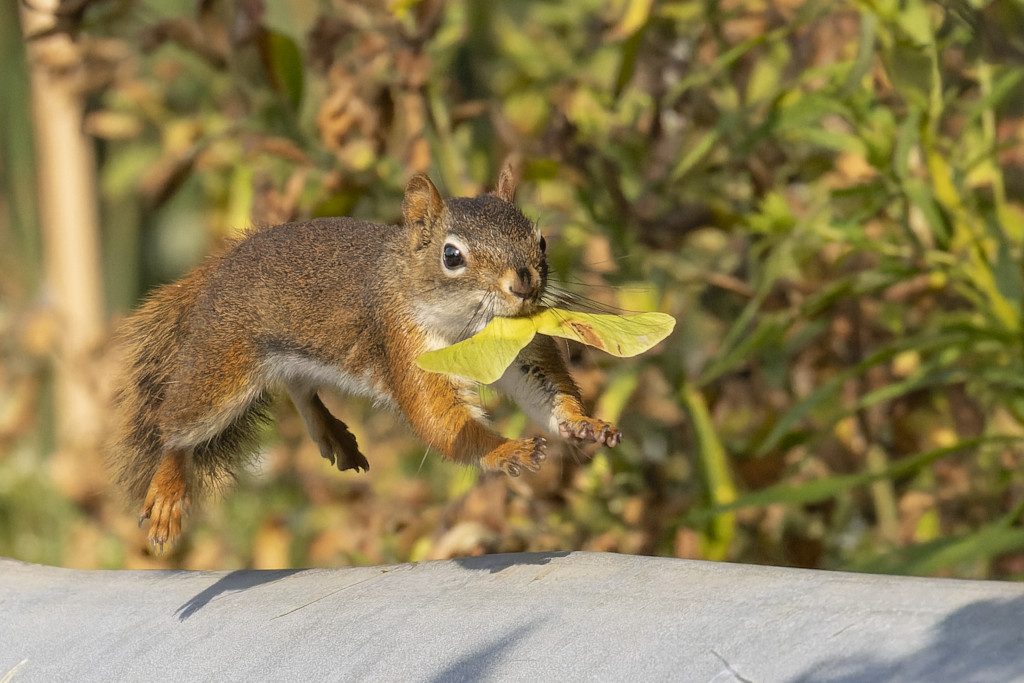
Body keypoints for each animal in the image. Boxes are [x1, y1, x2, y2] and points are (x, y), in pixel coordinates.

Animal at [112, 166, 622, 557]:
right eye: (451, 255)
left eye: (541, 240)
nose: (525, 283)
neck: (468, 328)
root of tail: (219, 269)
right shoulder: (405, 342)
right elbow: (440, 419)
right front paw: (504, 451)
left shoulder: (519, 349)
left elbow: (544, 392)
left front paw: (584, 425)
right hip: (222, 365)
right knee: (177, 428)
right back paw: (167, 491)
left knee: (297, 386)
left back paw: (332, 433)